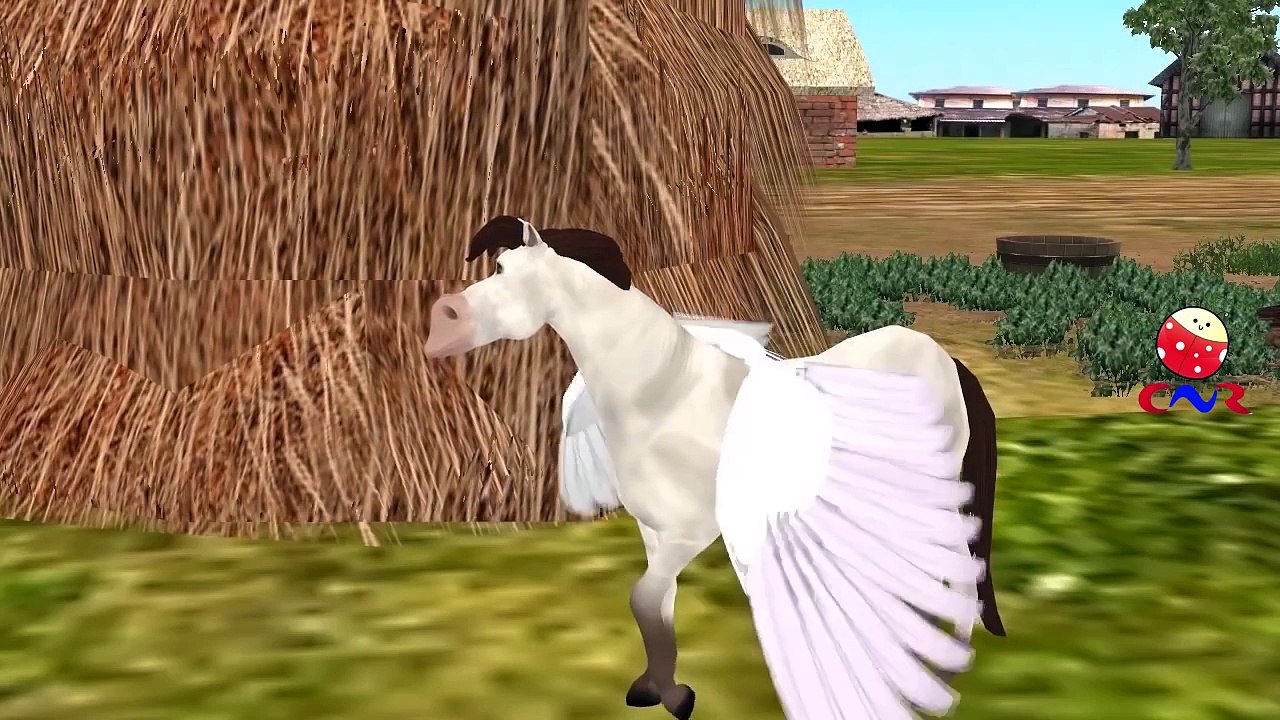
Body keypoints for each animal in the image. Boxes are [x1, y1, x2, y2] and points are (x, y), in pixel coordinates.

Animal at [424, 216, 1004, 720]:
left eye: (507, 273)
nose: (441, 321)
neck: (667, 394)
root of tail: (945, 360)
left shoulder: (692, 531)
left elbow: (642, 599)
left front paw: (677, 697)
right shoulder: (655, 532)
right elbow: (660, 605)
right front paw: (658, 688)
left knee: (958, 562)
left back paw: (948, 665)